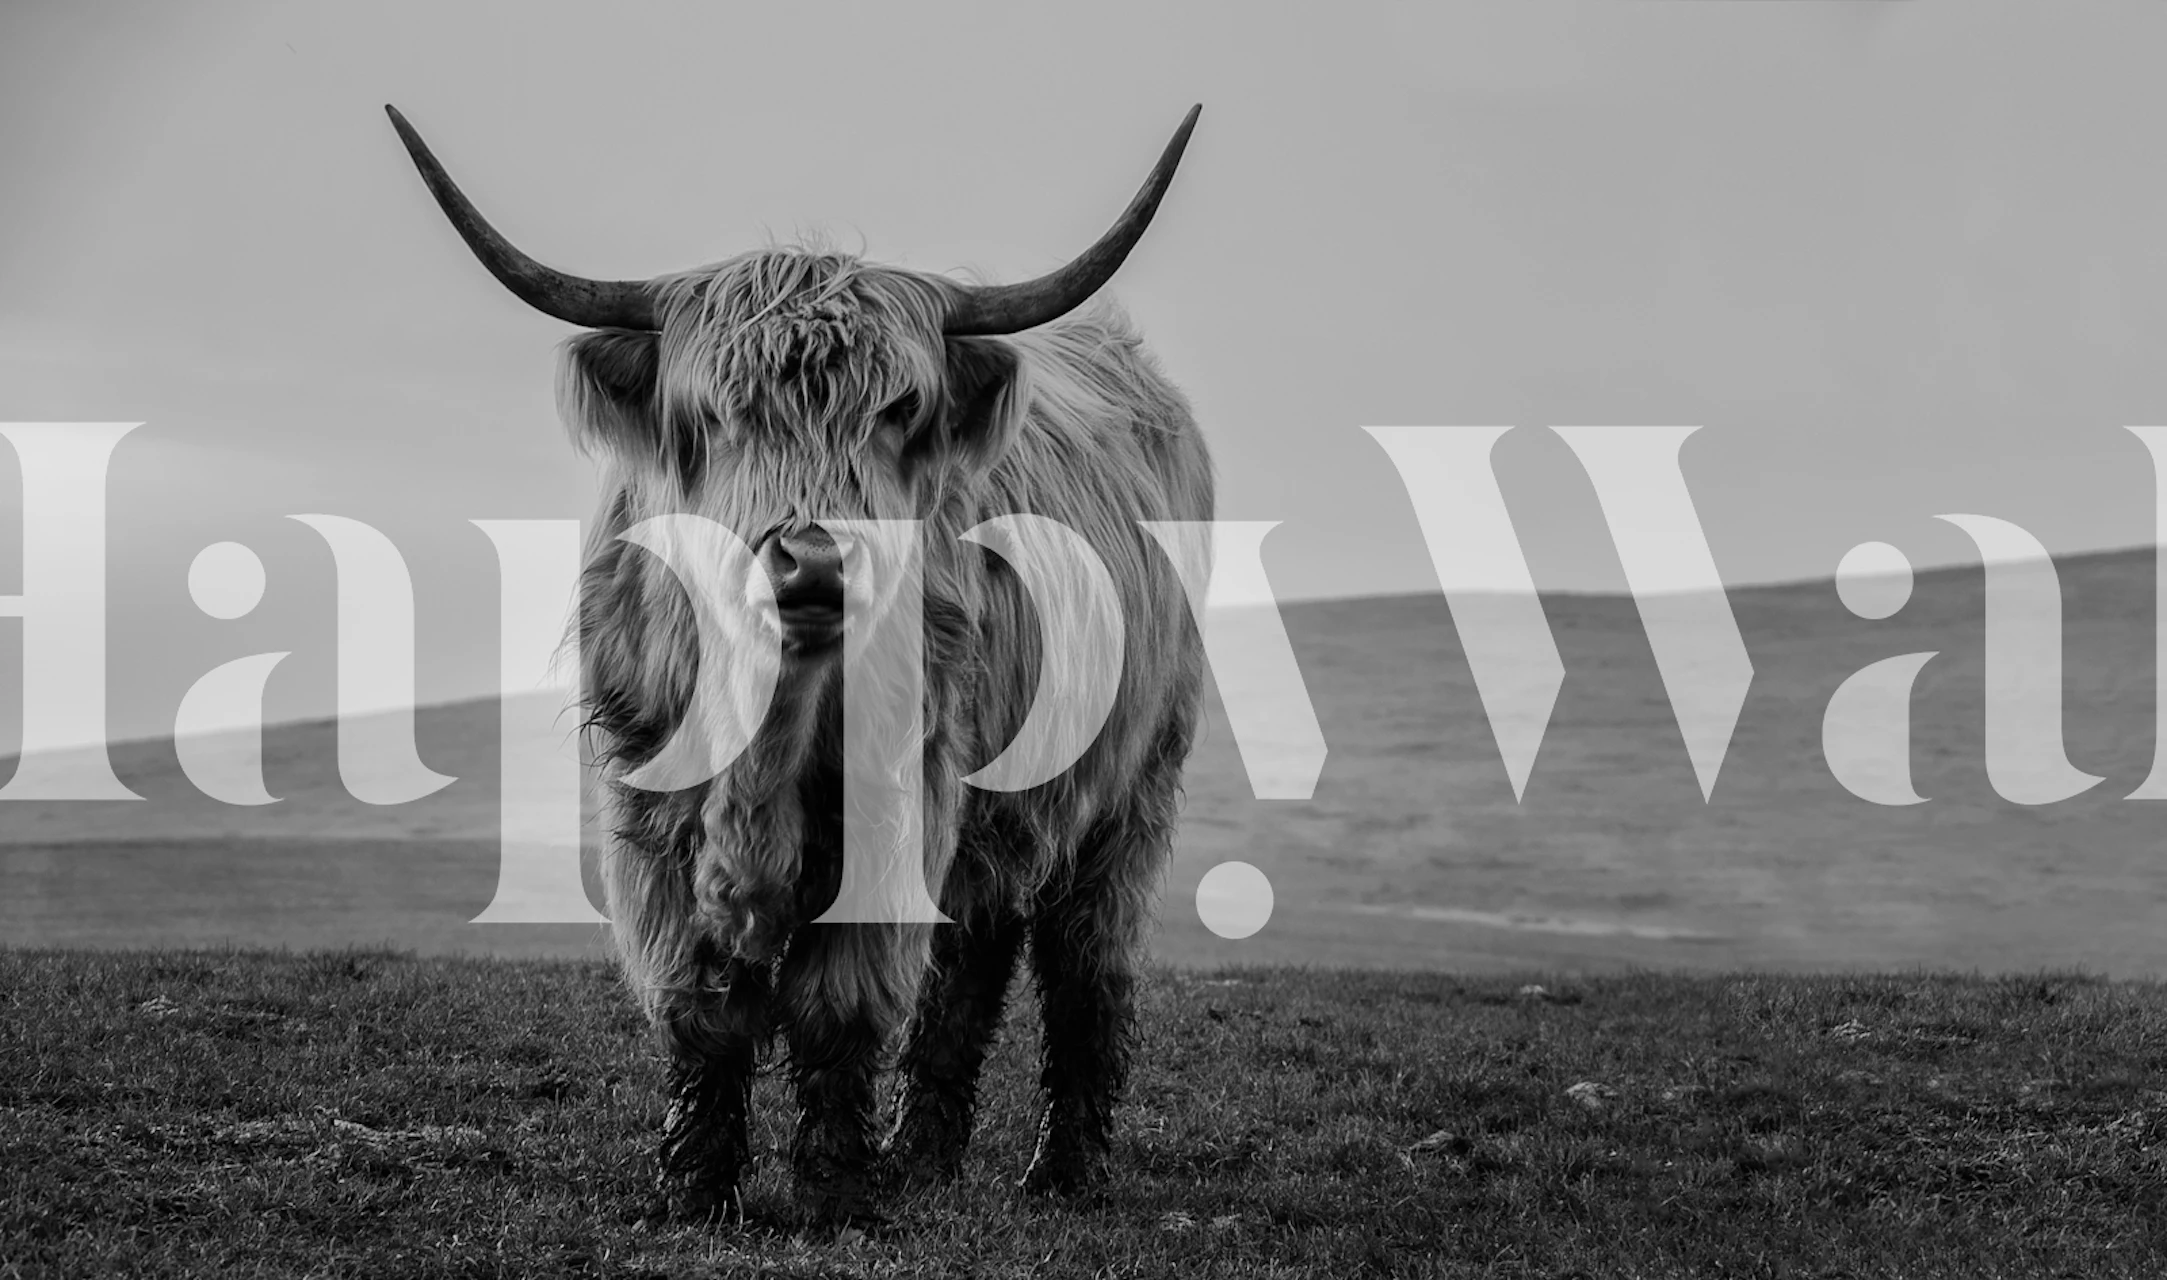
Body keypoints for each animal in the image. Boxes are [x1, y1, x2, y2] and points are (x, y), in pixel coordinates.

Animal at [386, 104, 1211, 1225]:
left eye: (900, 409)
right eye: (714, 409)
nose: (814, 563)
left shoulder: (900, 799)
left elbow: (839, 1002)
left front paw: (831, 1190)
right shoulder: (650, 809)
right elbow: (701, 1000)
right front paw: (696, 1182)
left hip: (1128, 791)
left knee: (1086, 969)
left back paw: (1062, 1172)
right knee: (971, 958)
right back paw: (923, 1156)